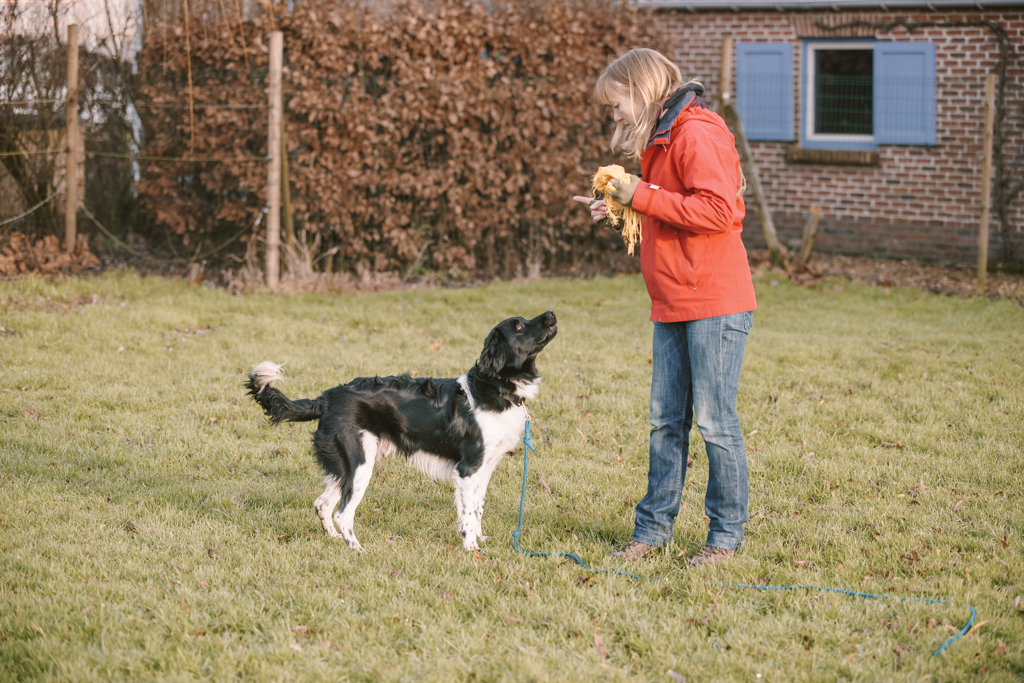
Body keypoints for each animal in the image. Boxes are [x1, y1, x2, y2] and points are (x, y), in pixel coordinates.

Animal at [243, 313, 557, 552]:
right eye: (518, 326)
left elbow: (477, 507)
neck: (492, 386)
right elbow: (468, 513)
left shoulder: (485, 468)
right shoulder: (469, 468)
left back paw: (334, 539)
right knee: (343, 513)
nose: (551, 314)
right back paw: (356, 549)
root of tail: (328, 397)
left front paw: (481, 538)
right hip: (360, 464)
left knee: (322, 504)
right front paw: (472, 549)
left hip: (350, 465)